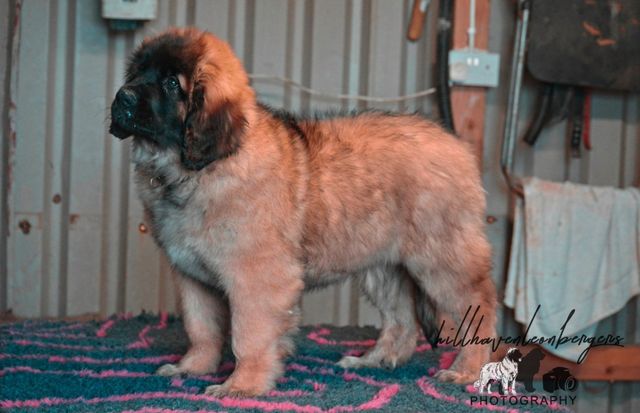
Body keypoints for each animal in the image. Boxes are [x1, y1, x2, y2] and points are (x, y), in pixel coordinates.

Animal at [110, 27, 498, 394]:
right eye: (136, 72)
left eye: (172, 83)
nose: (122, 97)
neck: (193, 171)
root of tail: (457, 147)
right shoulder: (192, 277)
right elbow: (201, 328)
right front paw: (192, 367)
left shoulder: (256, 278)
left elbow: (248, 335)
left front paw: (242, 385)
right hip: (384, 267)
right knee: (402, 320)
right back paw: (373, 360)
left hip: (442, 260)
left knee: (479, 306)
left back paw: (466, 371)